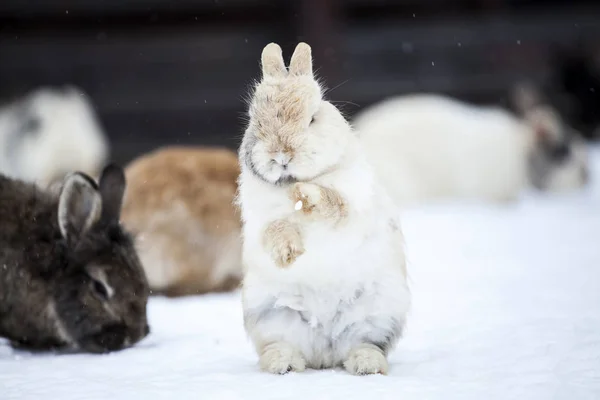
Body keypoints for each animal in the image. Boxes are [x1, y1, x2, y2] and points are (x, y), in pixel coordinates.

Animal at [237, 43, 410, 376]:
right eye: (256, 120)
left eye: (313, 118)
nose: (281, 154)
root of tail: (326, 354)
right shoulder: (262, 220)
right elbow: (276, 229)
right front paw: (287, 254)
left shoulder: (352, 199)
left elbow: (334, 204)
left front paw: (306, 195)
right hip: (269, 315)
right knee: (282, 346)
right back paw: (283, 364)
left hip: (381, 312)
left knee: (368, 344)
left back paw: (366, 364)